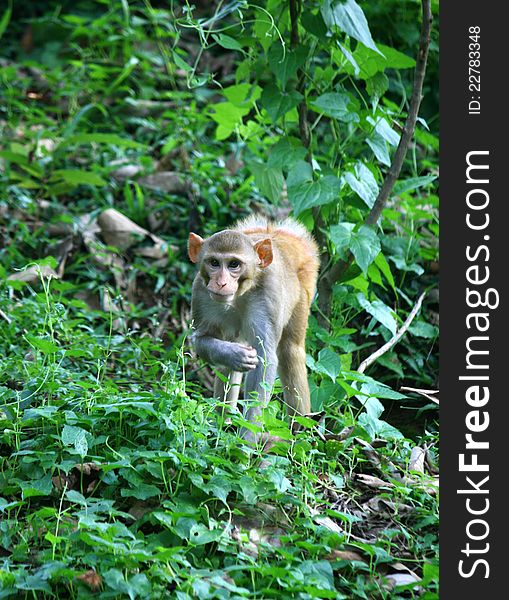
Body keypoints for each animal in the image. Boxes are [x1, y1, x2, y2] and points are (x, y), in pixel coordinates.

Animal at [189, 213, 320, 442]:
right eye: (214, 263)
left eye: (234, 264)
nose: (221, 283)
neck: (240, 294)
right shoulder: (201, 293)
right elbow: (200, 340)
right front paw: (234, 354)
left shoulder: (269, 295)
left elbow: (265, 359)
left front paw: (246, 439)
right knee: (227, 362)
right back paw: (223, 423)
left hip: (305, 290)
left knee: (290, 351)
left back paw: (300, 432)